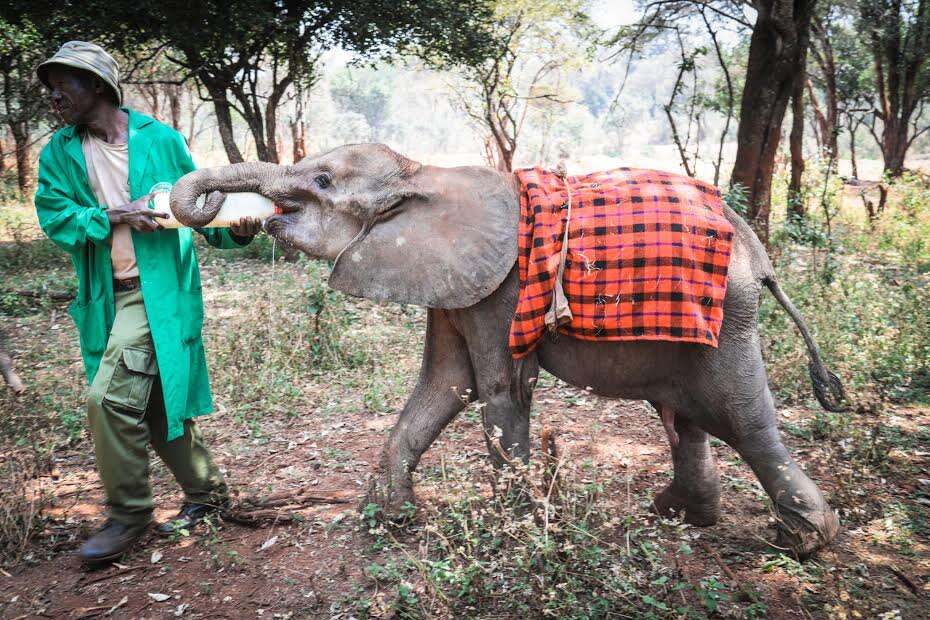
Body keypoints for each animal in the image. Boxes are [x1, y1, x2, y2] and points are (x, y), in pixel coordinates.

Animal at [170, 144, 844, 556]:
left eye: (321, 182)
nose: (228, 214)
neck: (422, 173)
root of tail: (758, 251)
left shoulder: (504, 289)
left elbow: (500, 390)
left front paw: (517, 532)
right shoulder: (454, 282)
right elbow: (445, 385)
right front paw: (388, 521)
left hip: (727, 319)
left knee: (741, 419)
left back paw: (805, 541)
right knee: (685, 415)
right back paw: (680, 515)